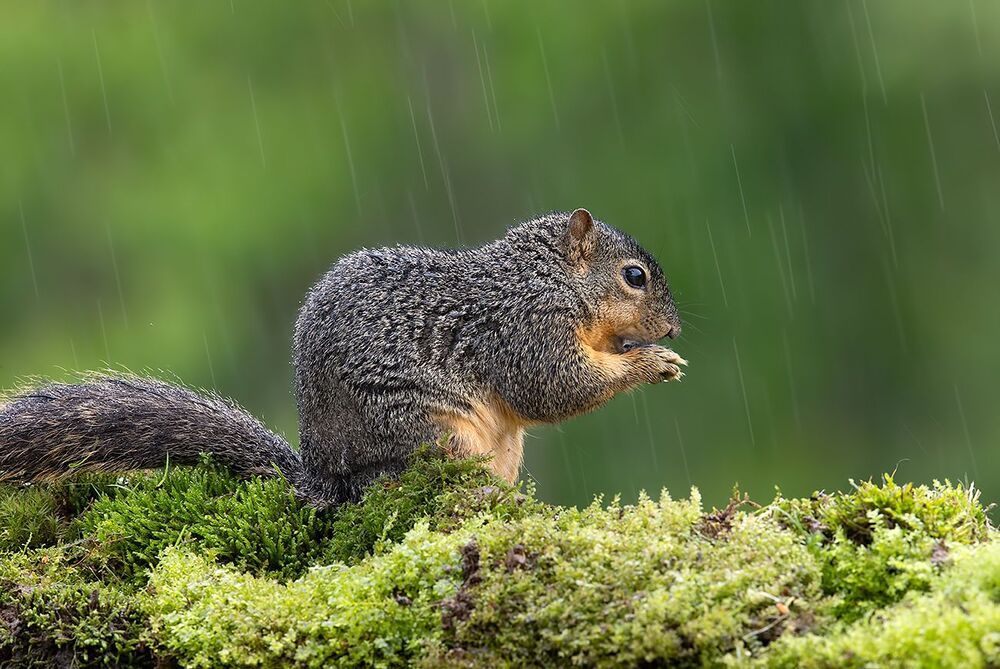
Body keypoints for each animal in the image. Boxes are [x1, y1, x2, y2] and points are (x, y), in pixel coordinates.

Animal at [0, 209, 685, 506]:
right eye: (634, 277)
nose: (676, 329)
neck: (546, 279)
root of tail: (327, 477)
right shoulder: (521, 331)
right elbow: (553, 387)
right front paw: (650, 363)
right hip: (428, 433)